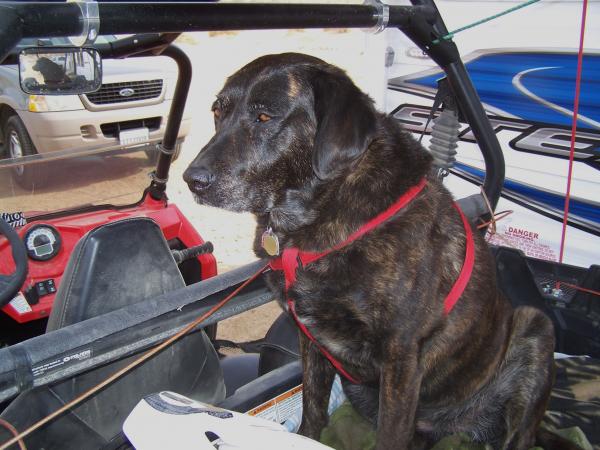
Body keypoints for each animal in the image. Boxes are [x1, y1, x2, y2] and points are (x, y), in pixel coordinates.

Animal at [184, 53, 556, 450]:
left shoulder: (401, 359)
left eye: (265, 116)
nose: (192, 180)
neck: (324, 211)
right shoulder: (311, 341)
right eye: (218, 112)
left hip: (535, 326)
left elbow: (390, 436)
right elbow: (313, 410)